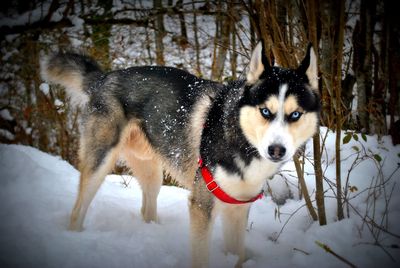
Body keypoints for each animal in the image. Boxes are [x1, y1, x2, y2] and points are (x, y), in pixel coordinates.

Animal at [41, 43, 318, 266]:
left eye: (295, 114)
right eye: (265, 111)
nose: (276, 150)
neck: (239, 139)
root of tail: (105, 77)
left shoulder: (237, 208)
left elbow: (237, 254)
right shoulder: (202, 205)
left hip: (152, 173)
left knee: (147, 209)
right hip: (100, 162)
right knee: (78, 210)